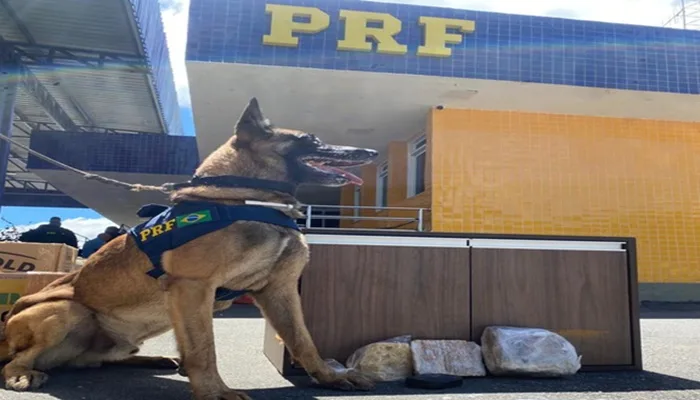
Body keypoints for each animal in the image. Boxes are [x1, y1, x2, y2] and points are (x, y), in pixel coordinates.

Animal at [0, 97, 378, 400]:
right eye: (309, 140)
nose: (371, 153)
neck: (248, 199)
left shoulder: (280, 290)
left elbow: (303, 340)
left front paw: (329, 377)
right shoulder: (194, 288)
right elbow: (202, 349)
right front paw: (214, 392)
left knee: (100, 360)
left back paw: (152, 359)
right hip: (66, 310)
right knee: (16, 361)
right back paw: (20, 374)